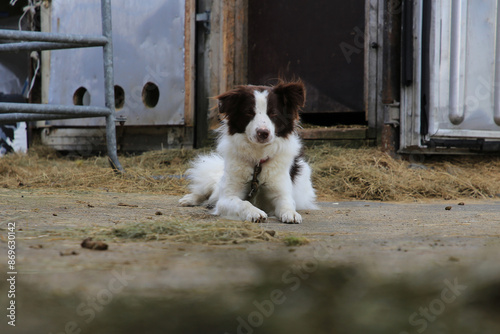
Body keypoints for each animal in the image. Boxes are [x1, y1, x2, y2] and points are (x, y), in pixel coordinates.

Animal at [181, 79, 316, 223]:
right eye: (249, 113)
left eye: (273, 113)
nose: (263, 133)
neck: (258, 160)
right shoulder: (227, 197)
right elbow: (243, 203)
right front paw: (255, 212)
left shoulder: (281, 192)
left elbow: (287, 203)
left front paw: (291, 214)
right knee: (208, 192)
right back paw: (189, 199)